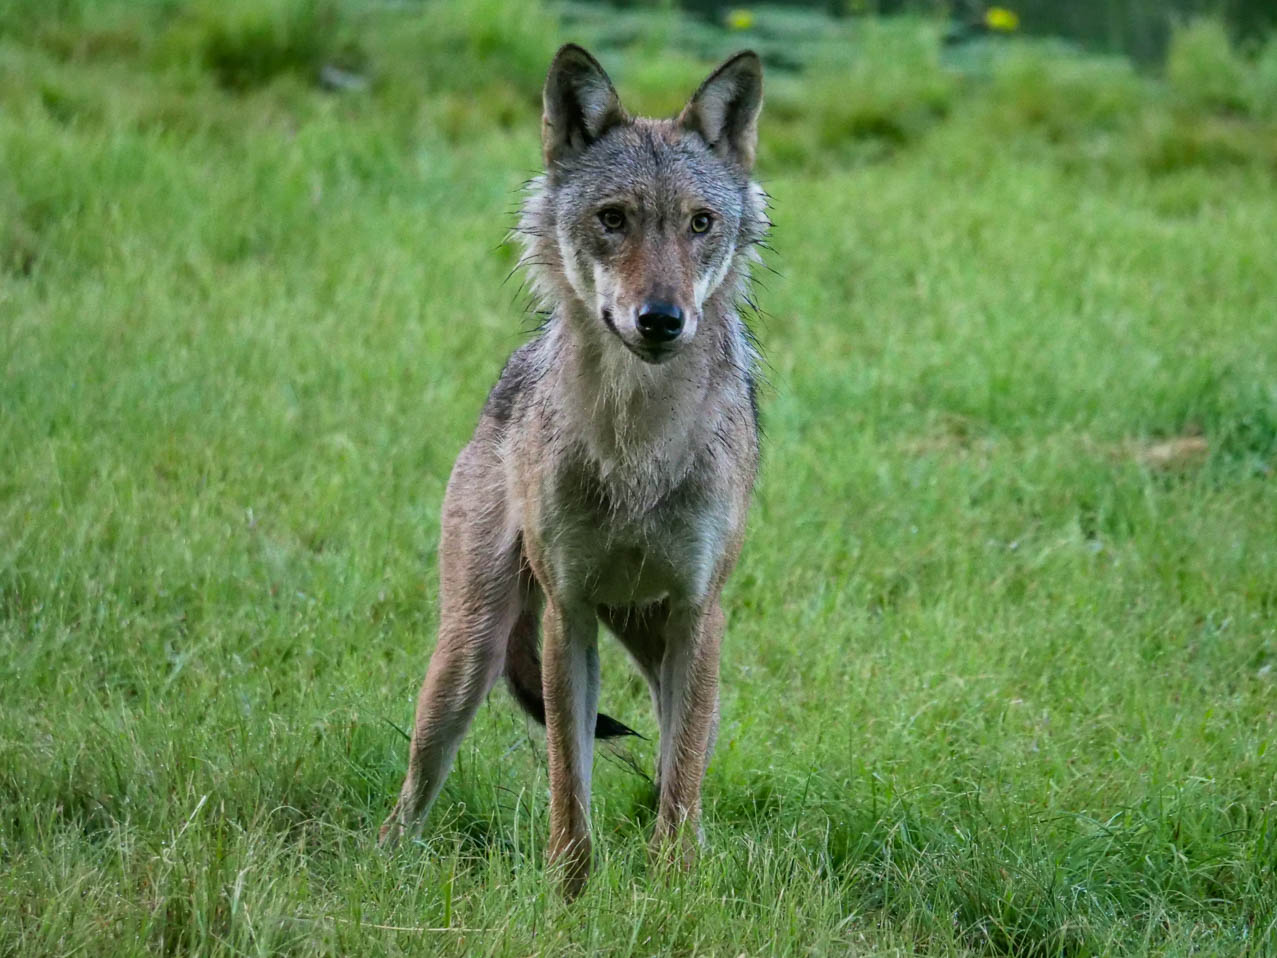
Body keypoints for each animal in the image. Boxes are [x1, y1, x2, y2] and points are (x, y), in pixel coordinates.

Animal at [380, 43, 768, 896]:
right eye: (612, 218)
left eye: (700, 223)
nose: (660, 320)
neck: (637, 449)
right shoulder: (569, 612)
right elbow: (569, 782)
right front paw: (570, 898)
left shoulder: (697, 611)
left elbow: (677, 792)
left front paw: (674, 896)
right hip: (469, 653)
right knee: (413, 789)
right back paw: (385, 866)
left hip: (677, 659)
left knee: (679, 770)